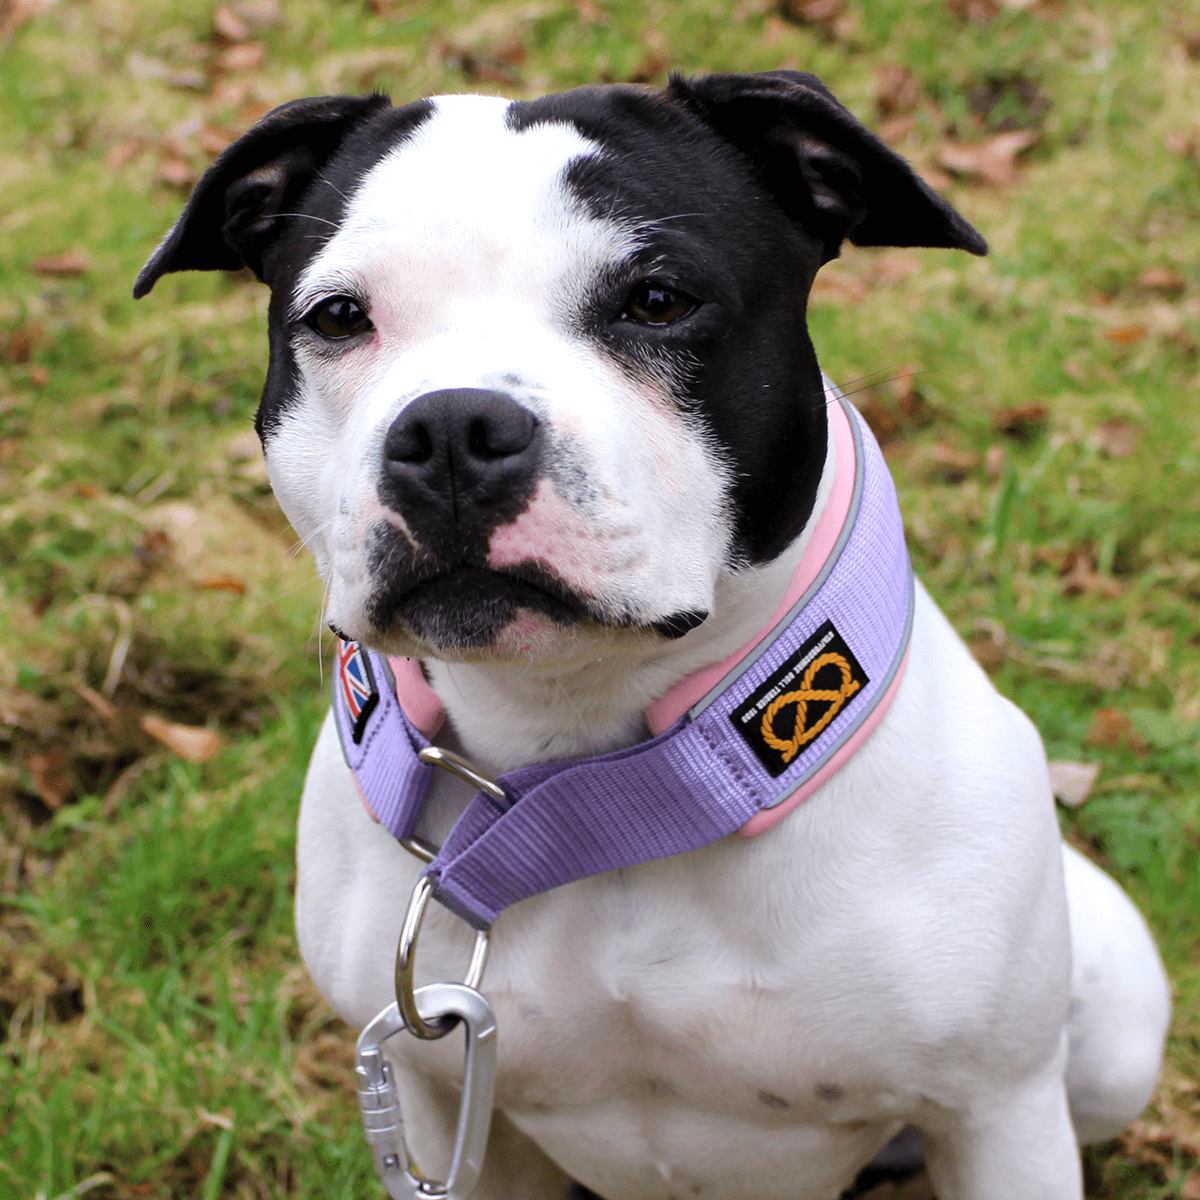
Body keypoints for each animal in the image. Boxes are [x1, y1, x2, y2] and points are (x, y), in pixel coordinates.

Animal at [133, 75, 1171, 1200]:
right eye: (336, 317)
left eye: (658, 301)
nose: (452, 429)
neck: (589, 780)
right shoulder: (448, 1106)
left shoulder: (996, 1111)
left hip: (1112, 1029)